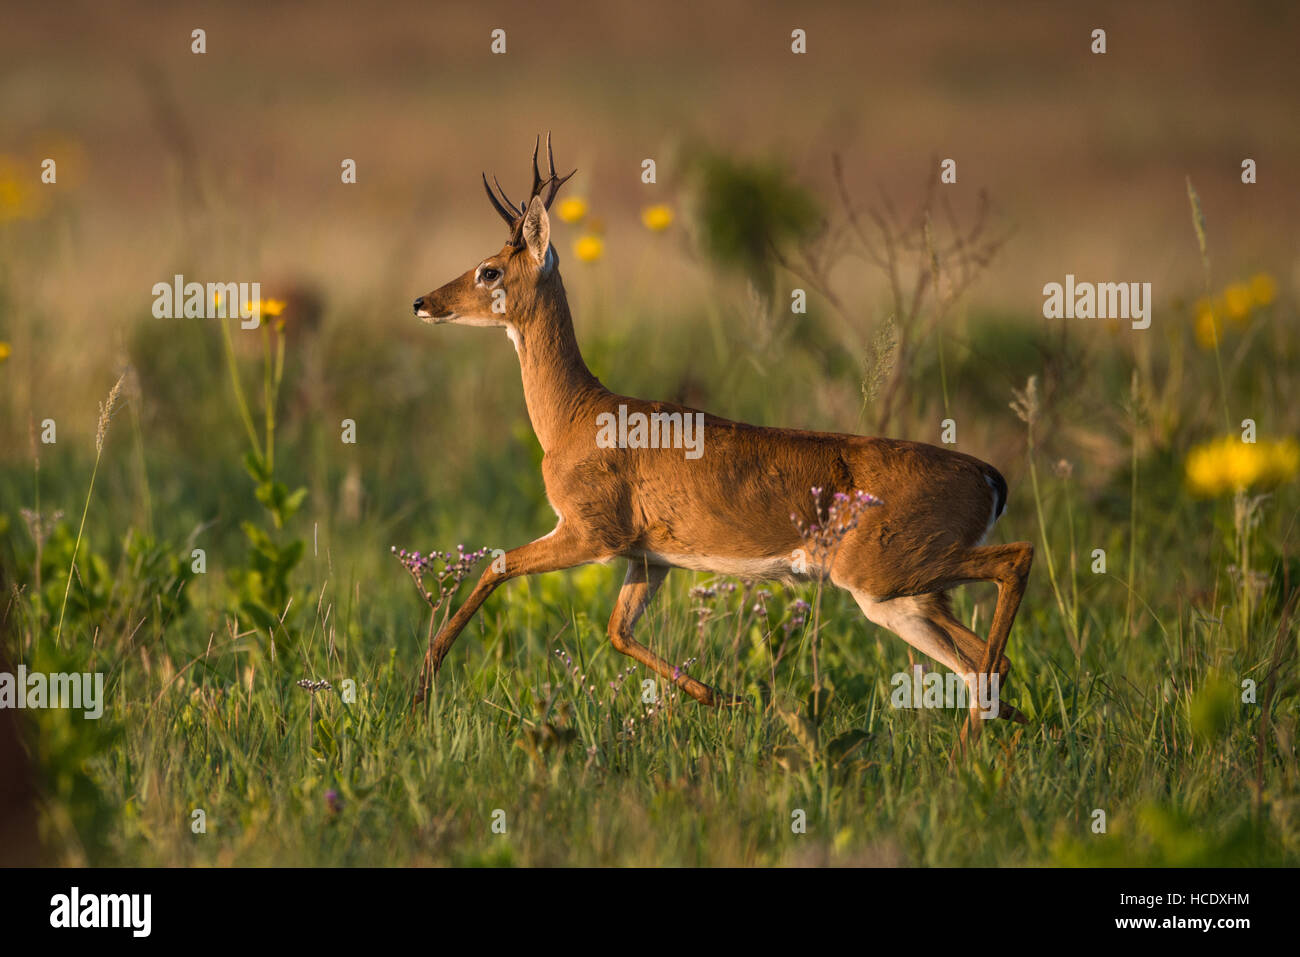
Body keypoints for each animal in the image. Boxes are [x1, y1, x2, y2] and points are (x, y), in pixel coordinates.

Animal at [412, 135, 1033, 740]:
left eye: (489, 270)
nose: (422, 302)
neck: (576, 415)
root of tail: (989, 477)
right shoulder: (648, 558)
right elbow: (618, 631)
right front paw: (729, 699)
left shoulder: (593, 534)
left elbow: (497, 565)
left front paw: (422, 688)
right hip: (896, 598)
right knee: (982, 661)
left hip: (889, 571)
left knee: (1013, 571)